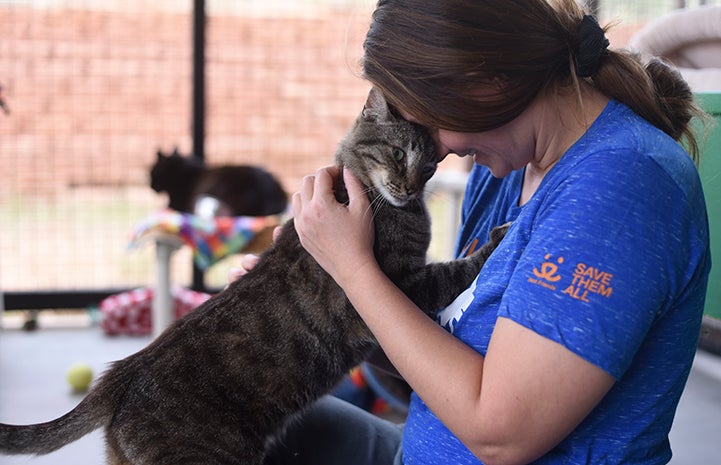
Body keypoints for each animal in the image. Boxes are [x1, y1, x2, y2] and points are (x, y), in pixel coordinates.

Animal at [0, 88, 506, 464]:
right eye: (399, 153)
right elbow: (454, 270)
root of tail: (120, 375)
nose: (413, 188)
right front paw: (498, 240)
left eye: (430, 167)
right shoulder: (399, 287)